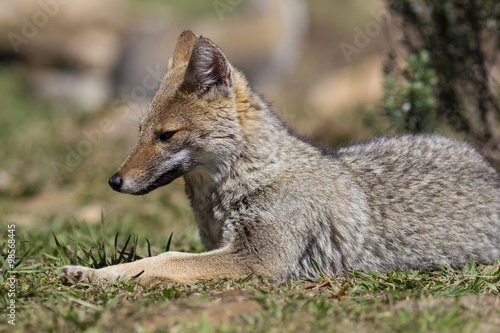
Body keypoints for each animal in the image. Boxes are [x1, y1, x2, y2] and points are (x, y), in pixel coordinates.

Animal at [61, 30, 500, 282]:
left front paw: (96, 275)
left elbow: (165, 260)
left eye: (166, 136)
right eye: (139, 133)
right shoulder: (224, 247)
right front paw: (89, 271)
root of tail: (486, 165)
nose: (114, 181)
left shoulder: (259, 261)